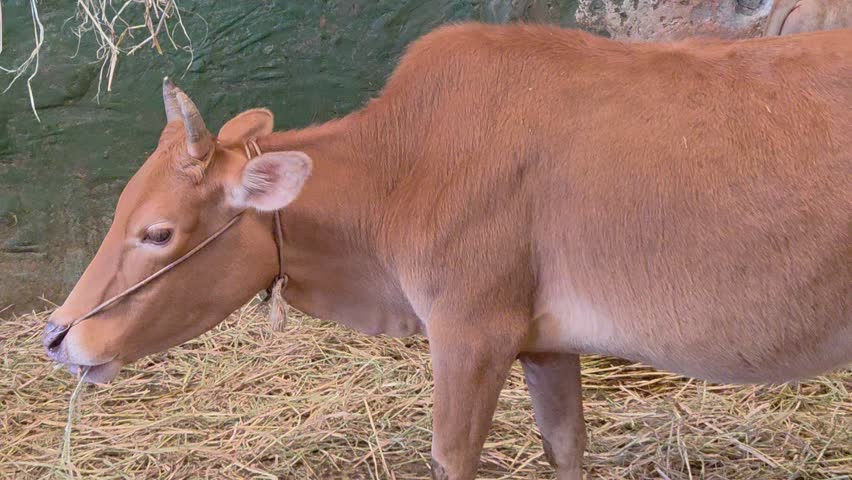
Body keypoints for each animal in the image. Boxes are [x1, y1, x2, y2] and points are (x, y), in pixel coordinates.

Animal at [41, 23, 851, 480]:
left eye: (157, 232)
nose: (56, 335)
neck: (400, 169)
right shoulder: (545, 344)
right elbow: (566, 448)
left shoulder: (470, 332)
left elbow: (452, 458)